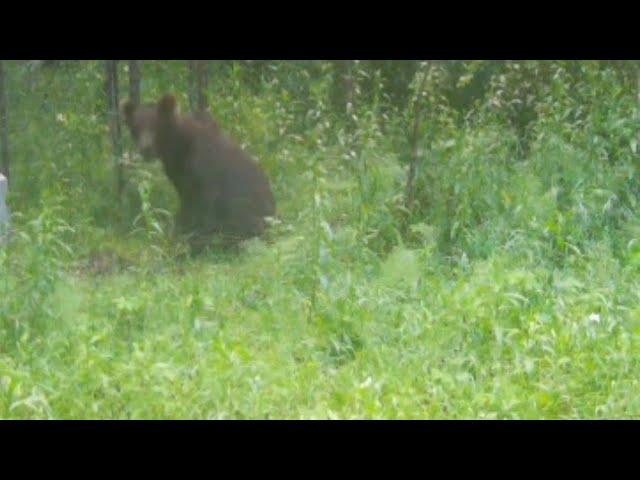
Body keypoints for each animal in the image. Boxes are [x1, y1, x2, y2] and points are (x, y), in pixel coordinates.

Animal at [122, 94, 276, 251]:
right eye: (136, 127)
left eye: (156, 125)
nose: (145, 148)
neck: (179, 149)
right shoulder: (179, 175)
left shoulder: (204, 171)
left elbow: (202, 207)